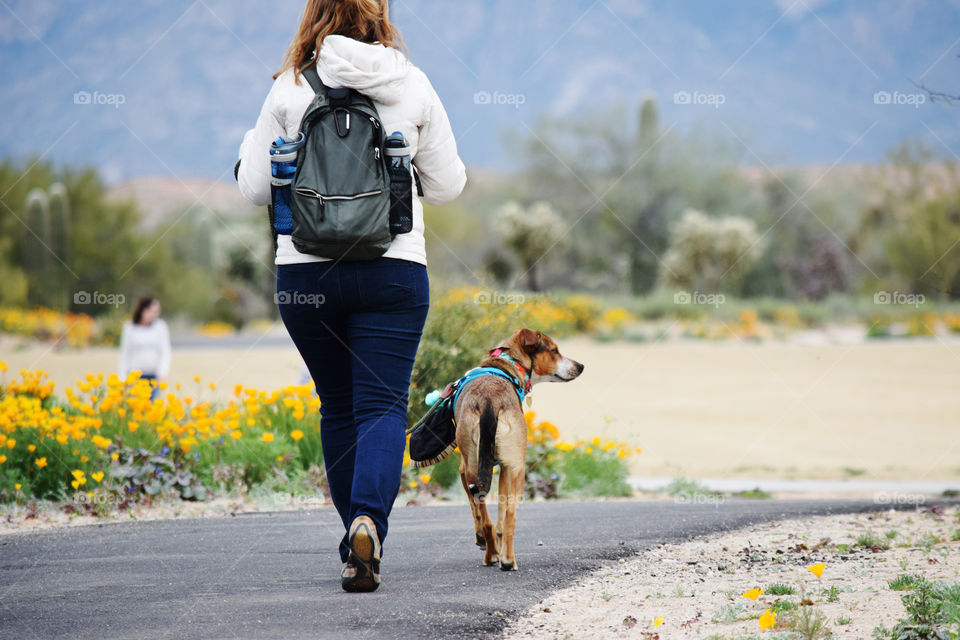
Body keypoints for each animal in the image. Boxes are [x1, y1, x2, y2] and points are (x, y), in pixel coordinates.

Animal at [452, 330, 580, 568]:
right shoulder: (494, 469)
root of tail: (489, 400)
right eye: (555, 350)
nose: (581, 366)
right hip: (515, 468)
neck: (509, 362)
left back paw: (497, 556)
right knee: (506, 514)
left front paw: (488, 540)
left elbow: (484, 512)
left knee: (491, 516)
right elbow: (492, 514)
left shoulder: (475, 469)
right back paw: (504, 559)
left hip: (482, 466)